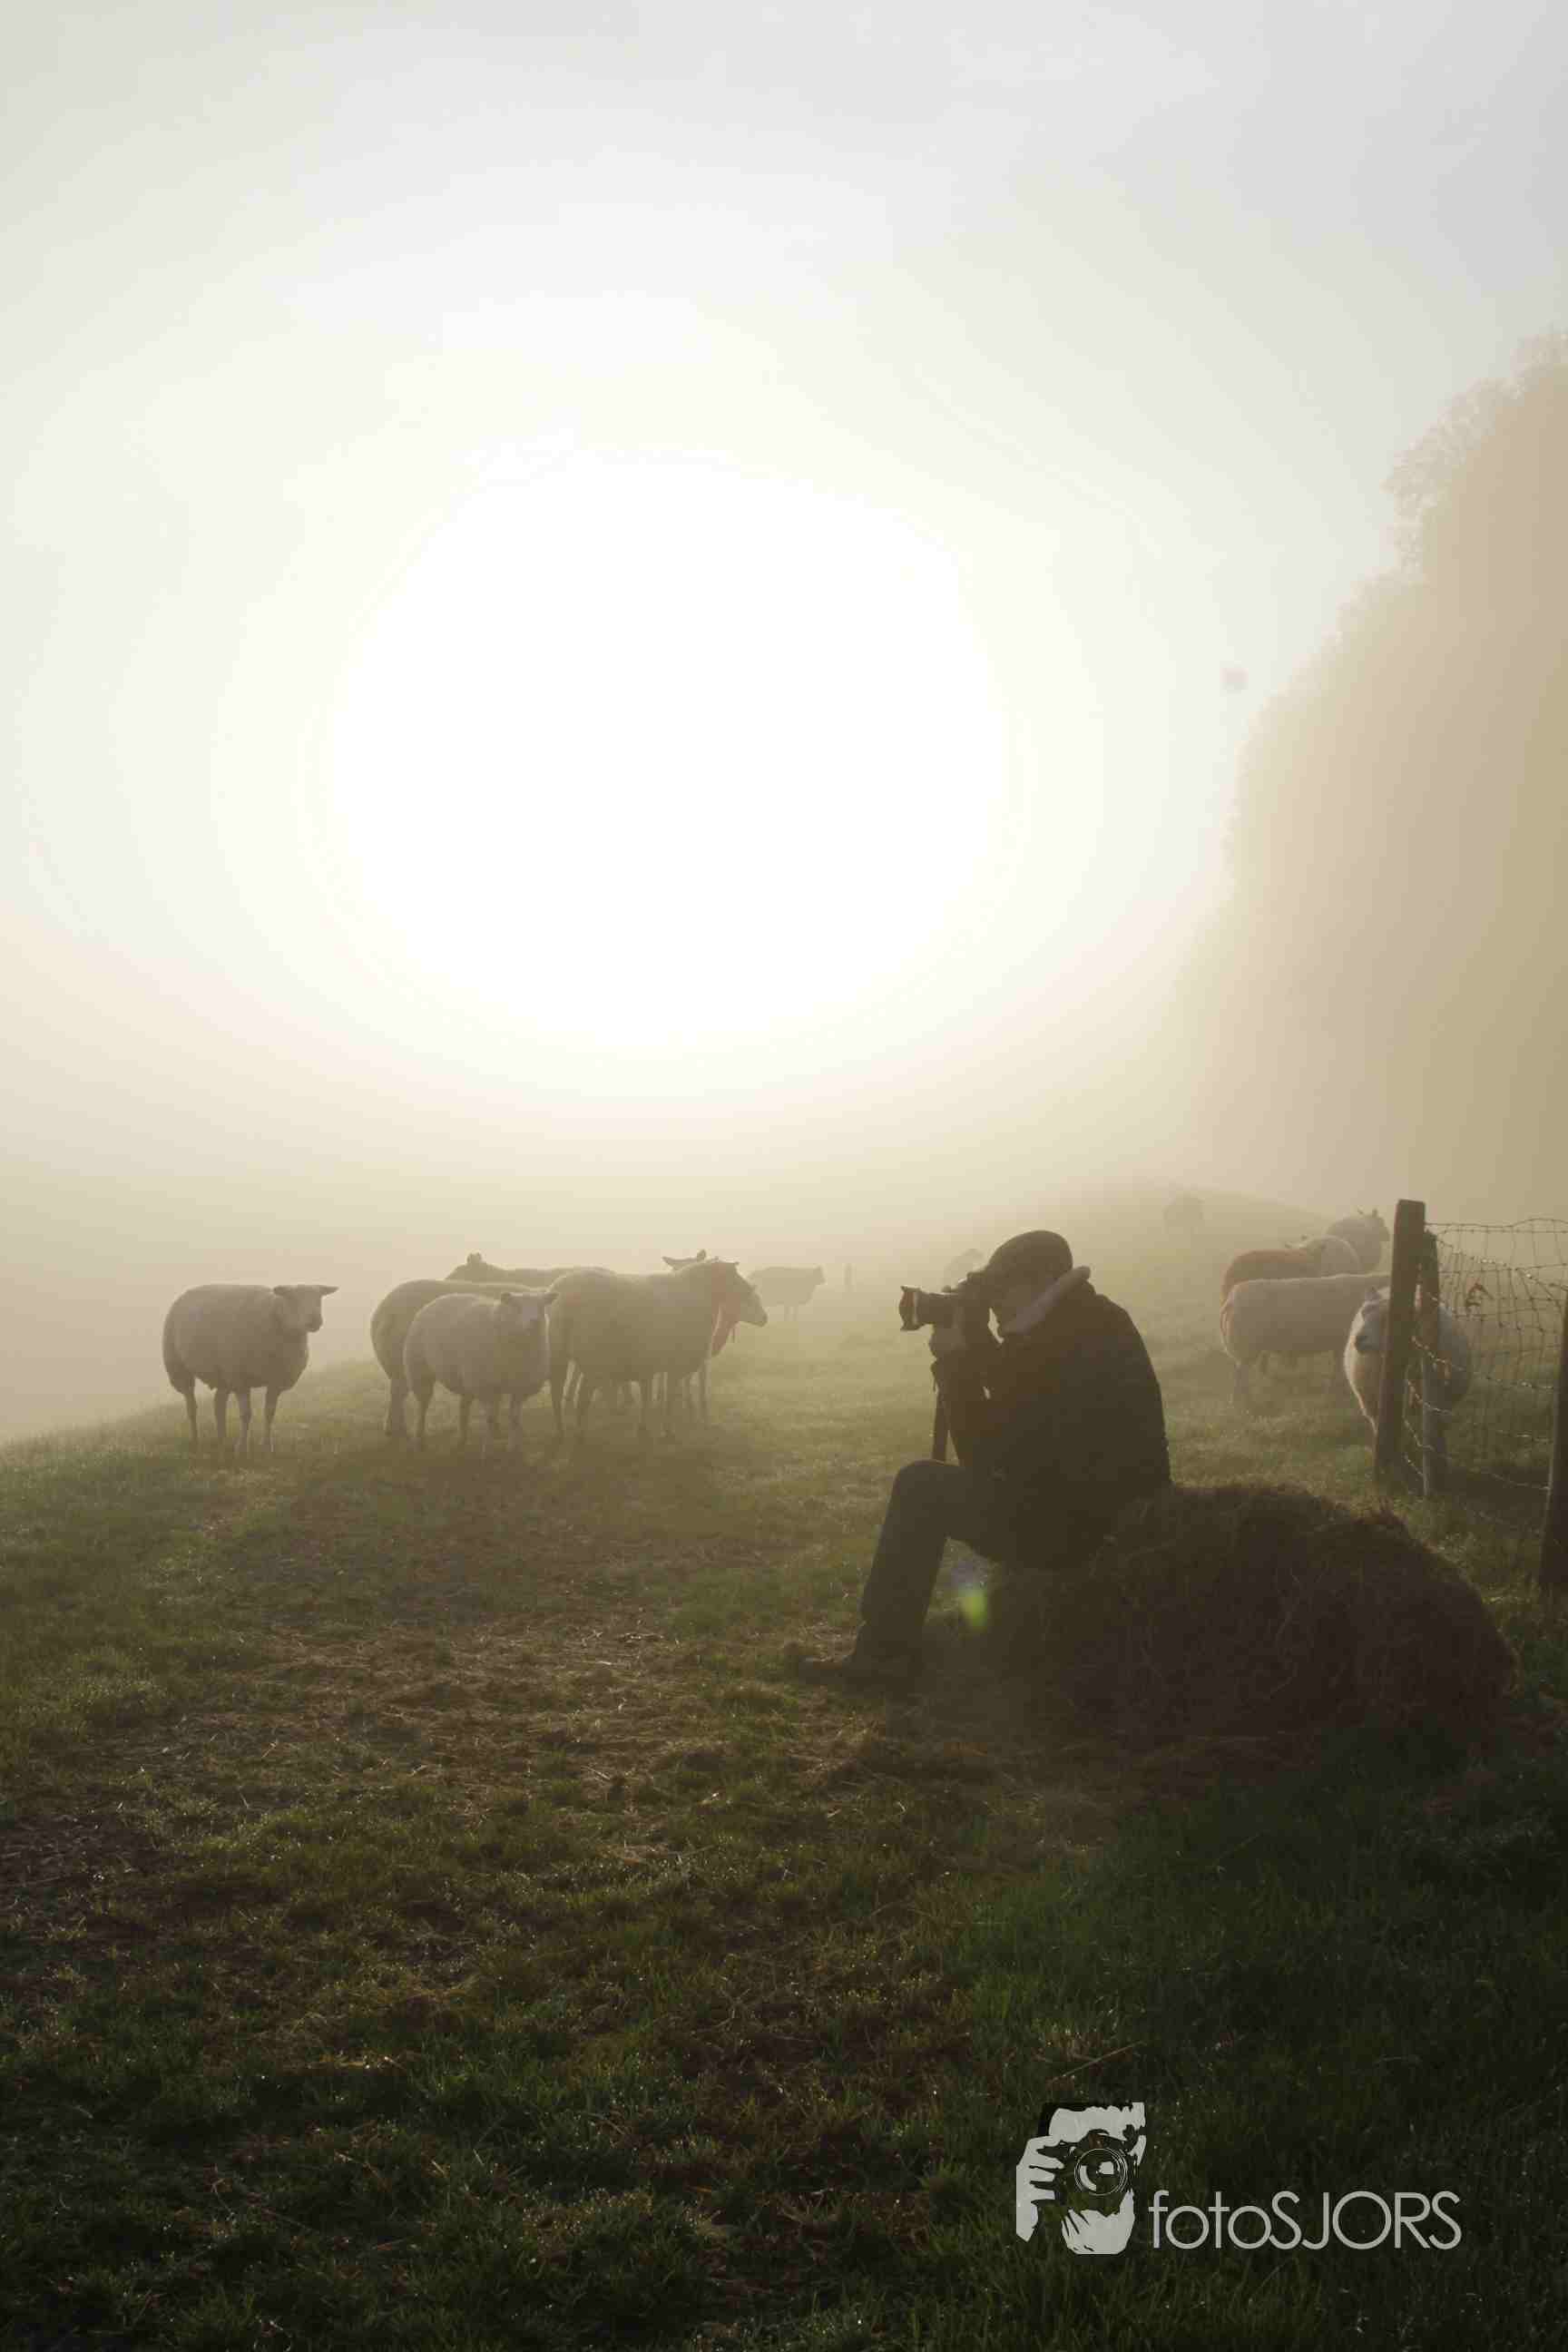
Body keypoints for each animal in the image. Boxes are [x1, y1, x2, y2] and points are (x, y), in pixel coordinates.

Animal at [162, 1283, 337, 1457]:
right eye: (293, 1298)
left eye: (319, 1299)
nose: (315, 1320)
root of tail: (185, 1294)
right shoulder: (240, 1379)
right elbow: (246, 1415)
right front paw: (242, 1448)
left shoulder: (275, 1380)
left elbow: (269, 1413)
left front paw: (267, 1446)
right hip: (179, 1368)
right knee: (192, 1406)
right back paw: (195, 1440)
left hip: (224, 1374)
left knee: (218, 1404)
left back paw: (222, 1440)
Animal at [402, 1288, 555, 1456]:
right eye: (516, 1306)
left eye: (541, 1307)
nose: (535, 1322)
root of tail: (434, 1301)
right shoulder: (485, 1387)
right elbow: (489, 1417)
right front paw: (487, 1451)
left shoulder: (520, 1387)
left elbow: (514, 1418)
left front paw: (512, 1448)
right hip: (419, 1370)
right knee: (423, 1406)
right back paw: (420, 1440)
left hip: (467, 1379)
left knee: (463, 1407)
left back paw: (461, 1440)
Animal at [548, 1259, 767, 1442]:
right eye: (731, 1274)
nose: (750, 1289)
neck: (698, 1296)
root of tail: (565, 1296)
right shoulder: (674, 1364)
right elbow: (668, 1398)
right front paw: (667, 1430)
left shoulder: (648, 1364)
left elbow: (648, 1395)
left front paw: (644, 1429)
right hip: (594, 1358)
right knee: (583, 1397)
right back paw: (581, 1433)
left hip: (560, 1350)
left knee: (557, 1393)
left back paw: (561, 1431)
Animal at [1220, 1270, 1391, 1411]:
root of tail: (1232, 1300)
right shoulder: (1342, 1343)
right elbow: (1337, 1370)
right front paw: (1333, 1392)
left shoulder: (1339, 1345)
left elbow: (1337, 1368)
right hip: (1247, 1348)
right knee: (1241, 1378)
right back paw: (1247, 1404)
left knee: (1239, 1376)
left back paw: (1238, 1403)